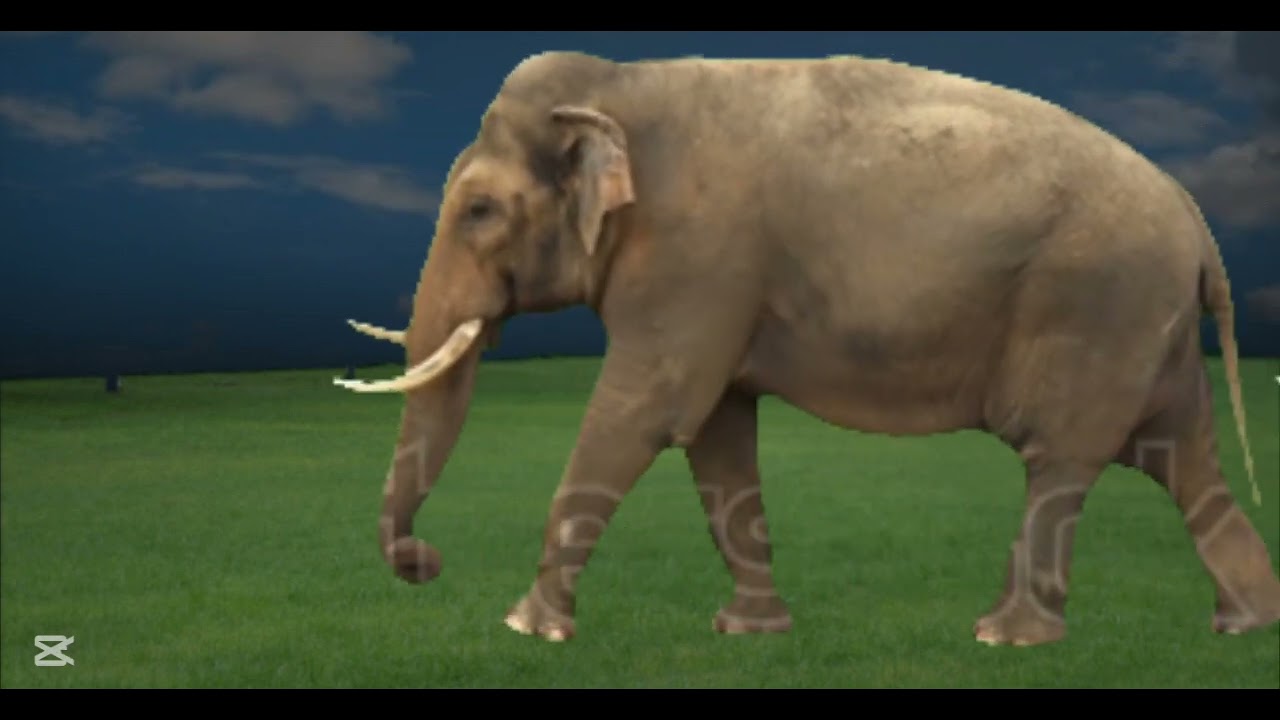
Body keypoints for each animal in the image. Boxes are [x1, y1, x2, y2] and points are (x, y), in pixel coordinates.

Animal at [335, 51, 1280, 647]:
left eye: (479, 211)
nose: (425, 563)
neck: (618, 84)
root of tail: (1197, 221)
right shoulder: (717, 284)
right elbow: (717, 436)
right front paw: (750, 633)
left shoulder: (697, 257)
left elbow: (648, 411)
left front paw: (527, 629)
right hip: (1148, 330)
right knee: (1181, 461)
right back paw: (1244, 624)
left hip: (1099, 307)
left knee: (1063, 463)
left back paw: (1005, 640)